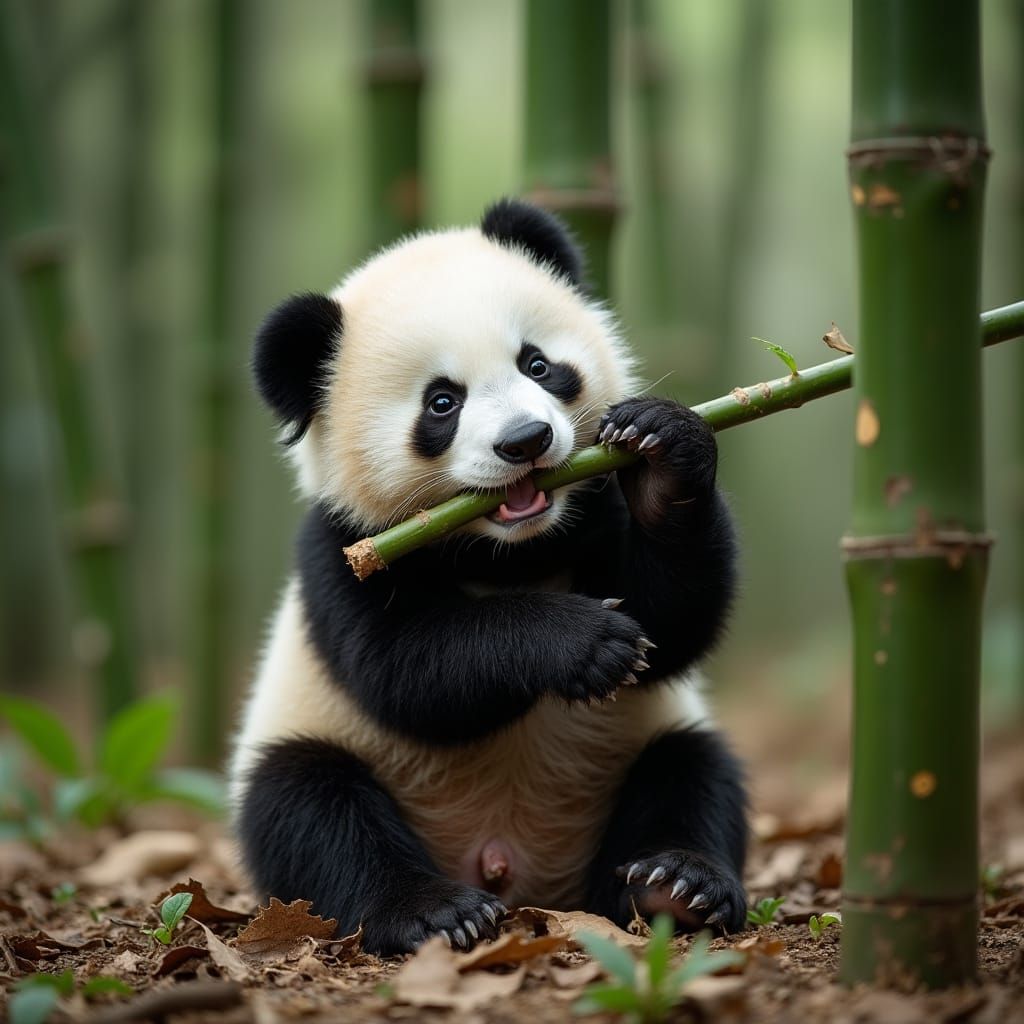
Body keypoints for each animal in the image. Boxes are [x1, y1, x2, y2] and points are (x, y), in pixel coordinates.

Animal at [230, 198, 747, 956]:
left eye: (538, 364)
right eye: (442, 403)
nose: (526, 441)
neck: (505, 551)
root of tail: (517, 872)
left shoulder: (592, 508)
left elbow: (675, 624)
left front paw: (663, 451)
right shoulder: (344, 552)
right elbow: (406, 670)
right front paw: (587, 642)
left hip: (631, 757)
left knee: (694, 770)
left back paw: (677, 883)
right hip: (322, 744)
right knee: (310, 808)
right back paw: (434, 911)